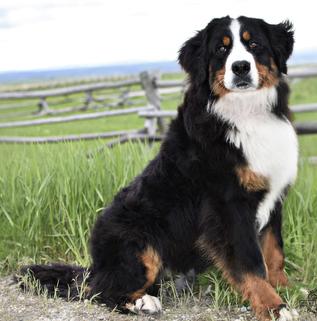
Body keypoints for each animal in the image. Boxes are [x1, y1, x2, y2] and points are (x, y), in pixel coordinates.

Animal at [18, 16, 298, 320]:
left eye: (254, 44)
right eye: (221, 50)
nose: (240, 67)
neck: (247, 113)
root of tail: (95, 265)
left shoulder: (274, 195)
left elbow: (274, 251)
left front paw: (287, 288)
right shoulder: (228, 204)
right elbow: (250, 262)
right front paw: (275, 307)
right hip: (139, 240)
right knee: (101, 291)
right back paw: (143, 302)